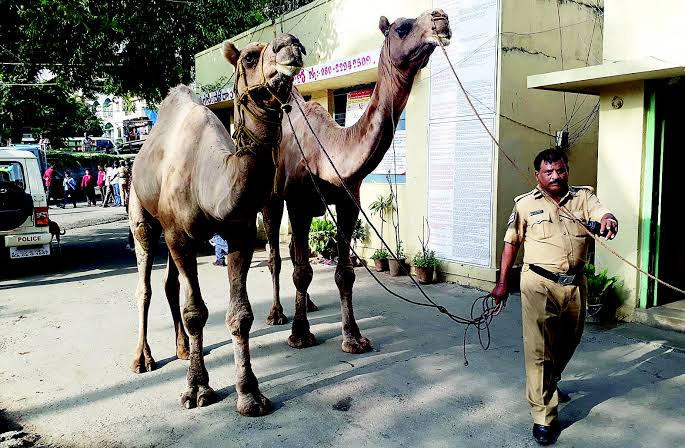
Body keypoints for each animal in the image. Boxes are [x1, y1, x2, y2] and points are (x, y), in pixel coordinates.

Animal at [129, 33, 304, 414]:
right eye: (250, 56)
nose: (290, 43)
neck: (208, 179)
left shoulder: (238, 233)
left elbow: (240, 315)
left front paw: (250, 394)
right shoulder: (179, 235)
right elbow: (196, 311)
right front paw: (197, 389)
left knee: (169, 284)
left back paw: (182, 349)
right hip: (143, 213)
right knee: (145, 285)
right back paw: (142, 359)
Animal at [260, 11, 448, 354]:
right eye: (402, 27)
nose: (441, 18)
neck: (328, 151)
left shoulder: (349, 202)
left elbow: (344, 273)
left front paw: (353, 338)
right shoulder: (298, 203)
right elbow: (302, 270)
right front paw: (300, 335)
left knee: (293, 250)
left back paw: (309, 304)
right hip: (273, 198)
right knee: (277, 257)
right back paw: (277, 314)